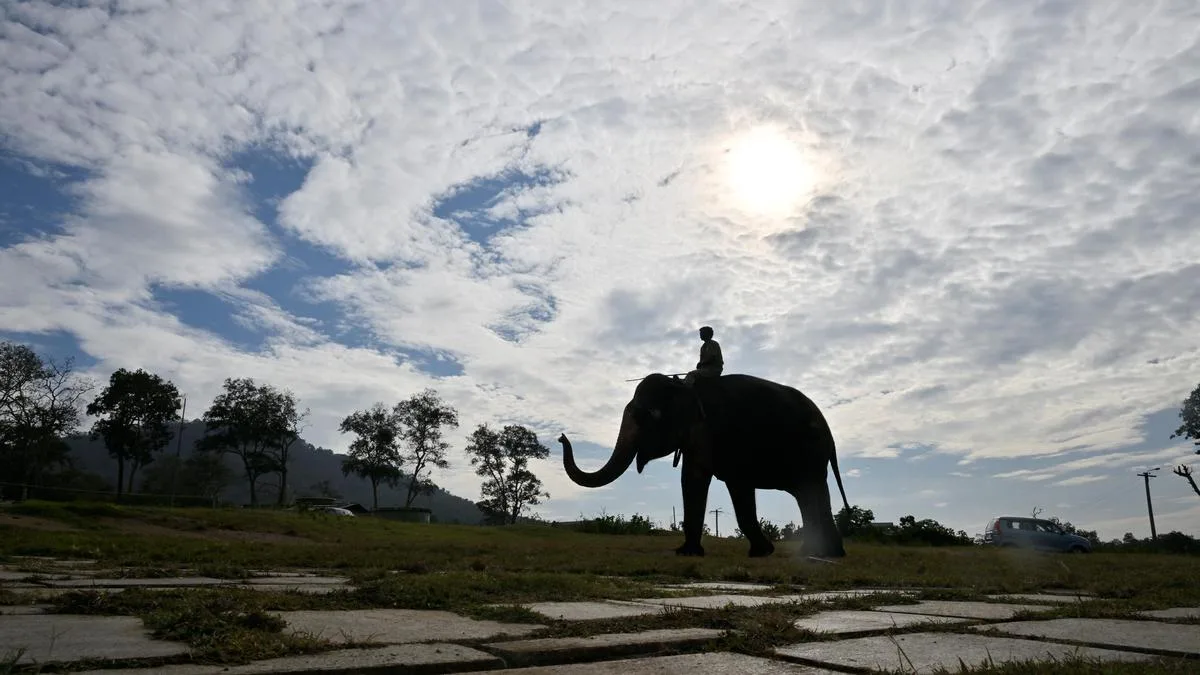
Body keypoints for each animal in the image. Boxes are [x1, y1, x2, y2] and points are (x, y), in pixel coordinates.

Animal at [557, 372, 851, 558]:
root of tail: (829, 431)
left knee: (811, 492)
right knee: (809, 494)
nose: (561, 437)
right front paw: (688, 552)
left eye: (645, 415)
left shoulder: (720, 433)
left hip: (811, 451)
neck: (685, 387)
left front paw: (760, 553)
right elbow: (693, 477)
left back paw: (825, 554)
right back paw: (819, 553)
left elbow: (723, 483)